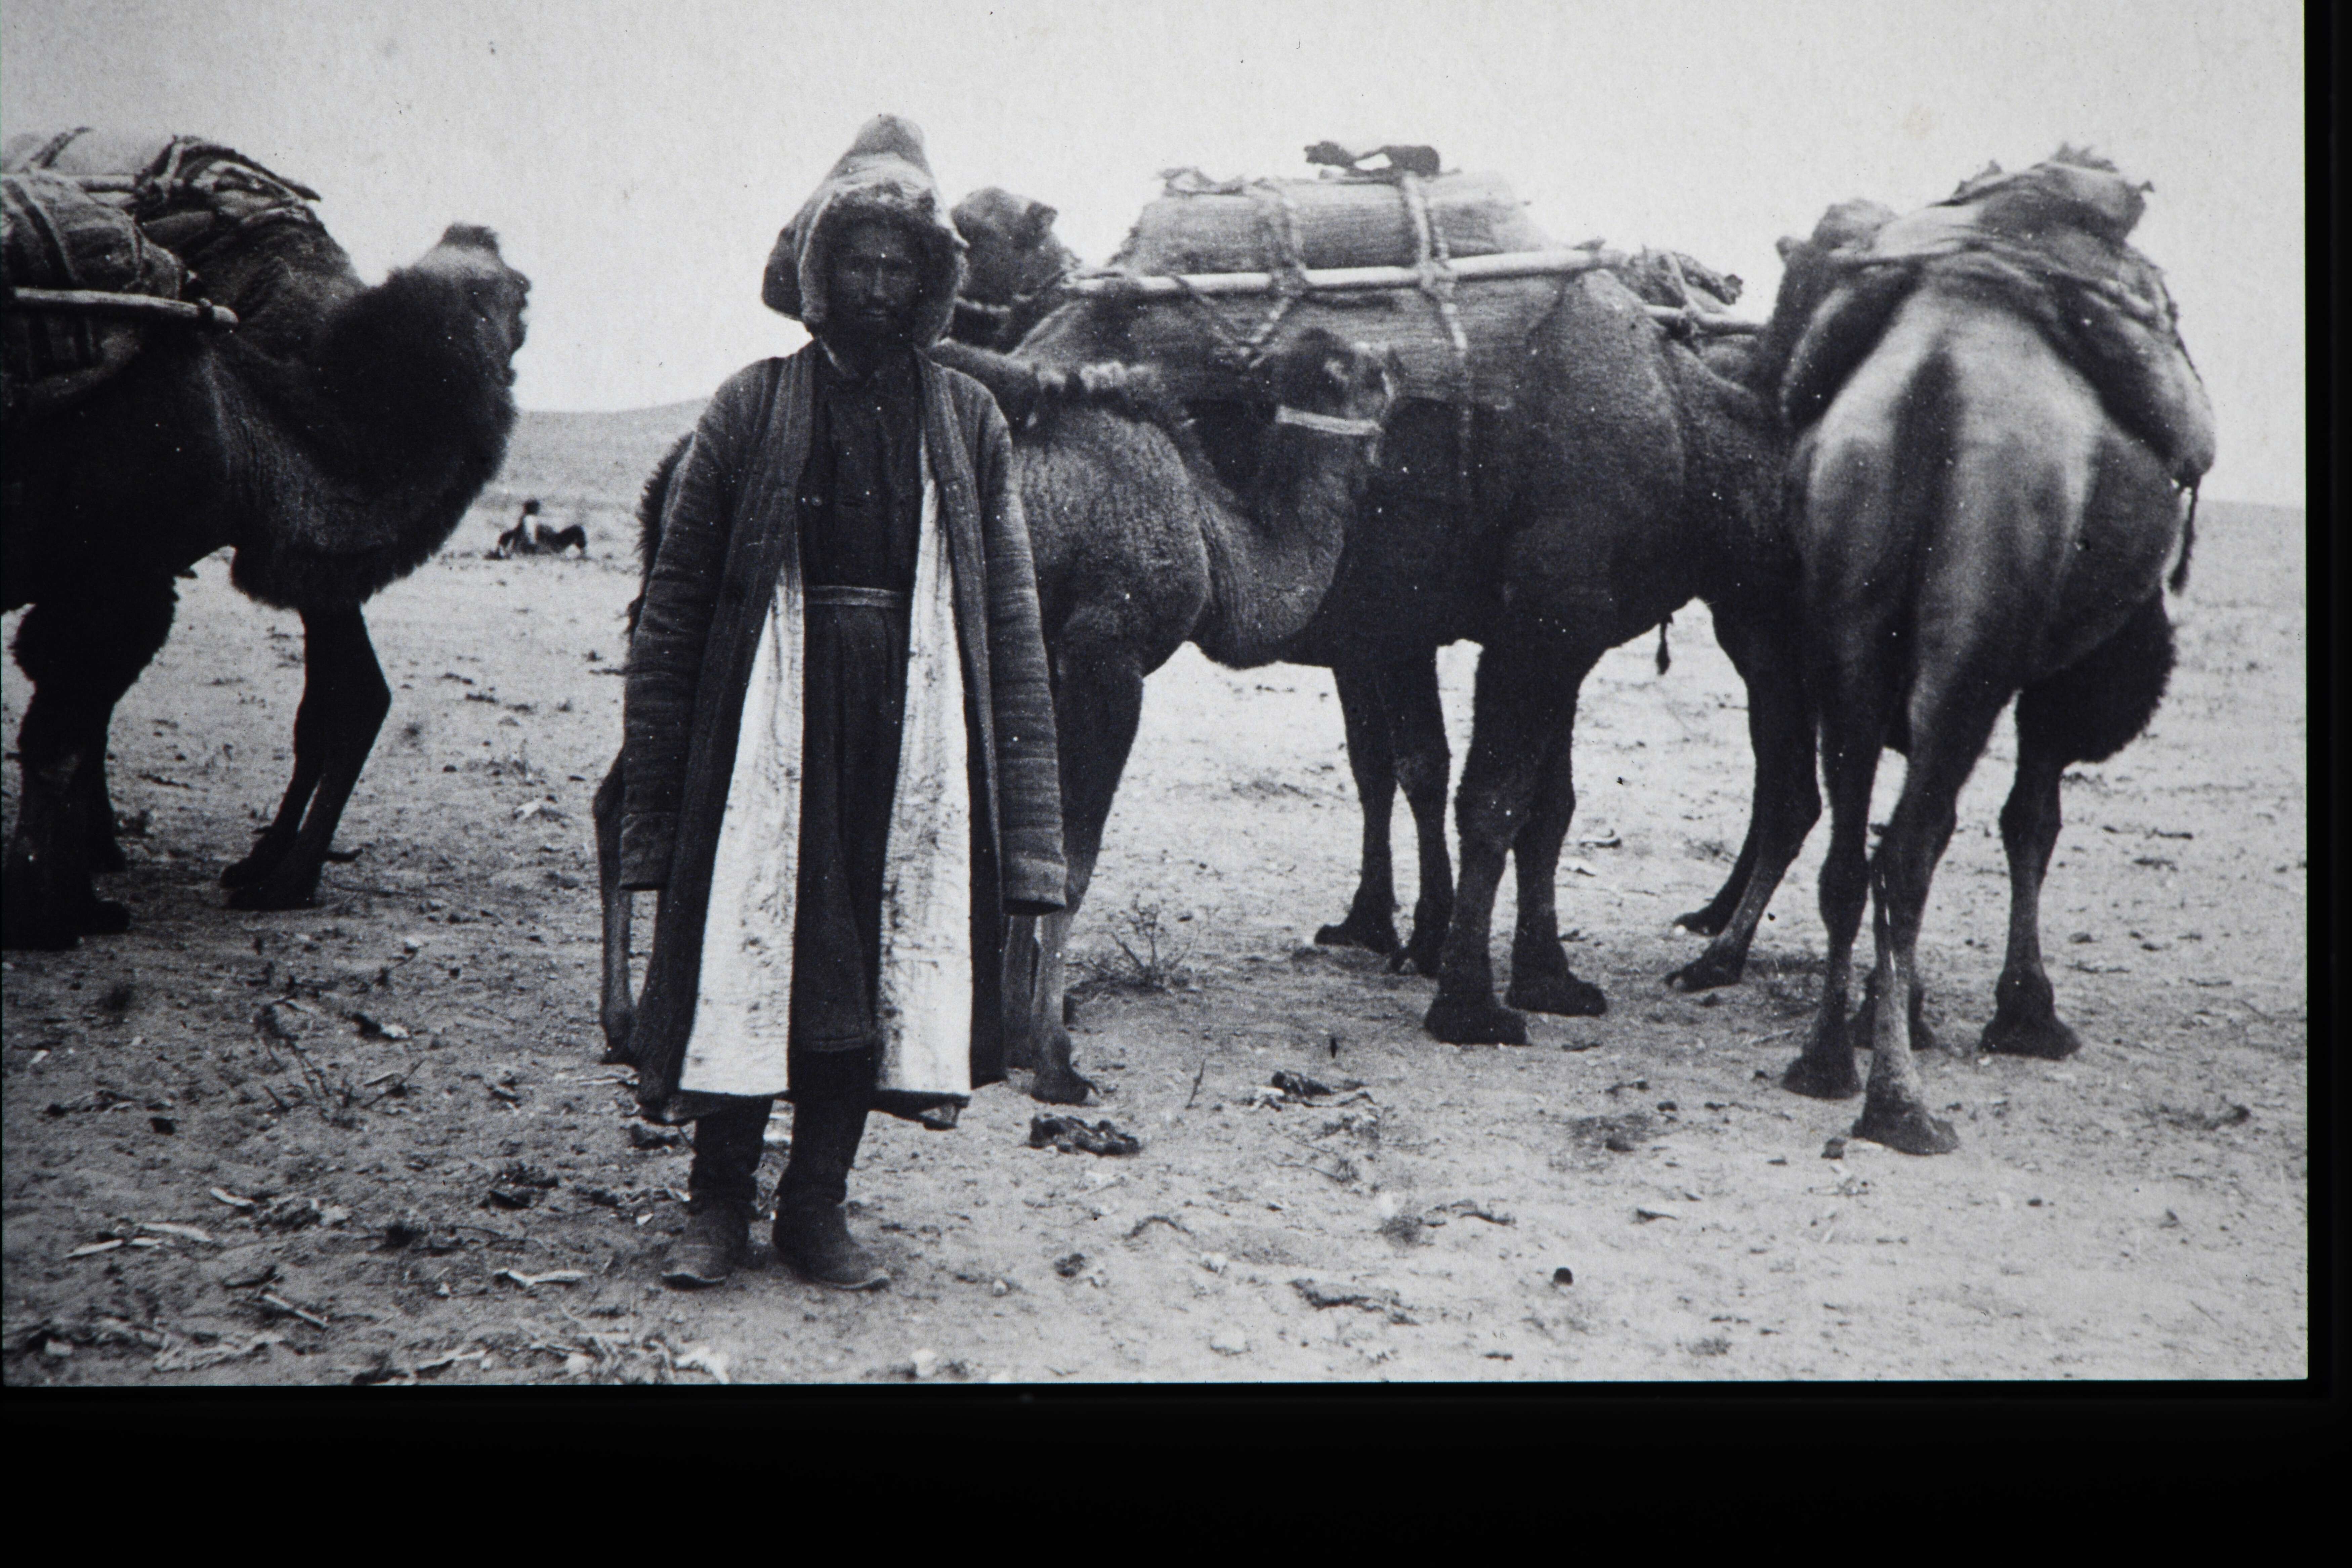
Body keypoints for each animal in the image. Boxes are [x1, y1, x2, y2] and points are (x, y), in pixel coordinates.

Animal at [2, 188, 529, 948]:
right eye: (519, 290)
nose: (482, 232)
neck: (243, 427)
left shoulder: (114, 581)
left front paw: (79, 901)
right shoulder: (116, 576)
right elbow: (61, 738)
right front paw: (49, 914)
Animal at [592, 328, 1399, 1107]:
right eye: (1358, 371)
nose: (1395, 361)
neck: (1207, 530)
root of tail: (673, 469)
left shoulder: (1045, 665)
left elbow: (1034, 844)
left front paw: (1011, 1037)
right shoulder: (1108, 654)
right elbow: (1073, 858)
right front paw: (1055, 1061)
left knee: (627, 797)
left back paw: (631, 1025)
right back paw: (650, 1026)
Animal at [1766, 158, 2208, 1154]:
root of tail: (1937, 380)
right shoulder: (2051, 674)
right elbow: (2032, 820)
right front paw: (2029, 1013)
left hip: (1847, 620)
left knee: (1853, 849)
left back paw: (1826, 1059)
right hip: (1982, 637)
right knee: (1906, 853)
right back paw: (1901, 1106)